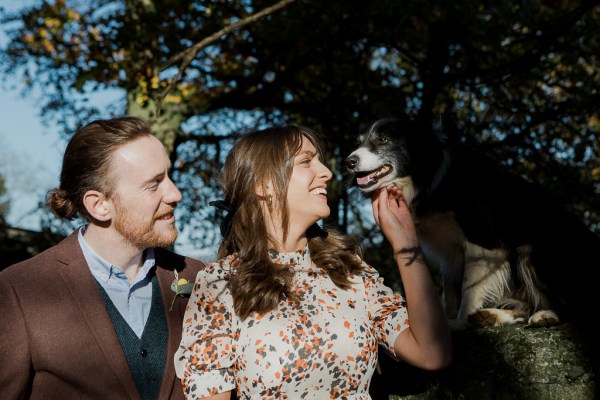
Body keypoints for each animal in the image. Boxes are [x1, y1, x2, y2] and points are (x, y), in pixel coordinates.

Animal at [344, 115, 600, 328]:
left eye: (383, 140)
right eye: (358, 142)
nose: (349, 161)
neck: (429, 180)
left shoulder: (483, 242)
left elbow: (469, 287)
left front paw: (459, 323)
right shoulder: (446, 251)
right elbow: (451, 291)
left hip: (533, 250)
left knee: (580, 308)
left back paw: (547, 315)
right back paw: (493, 315)